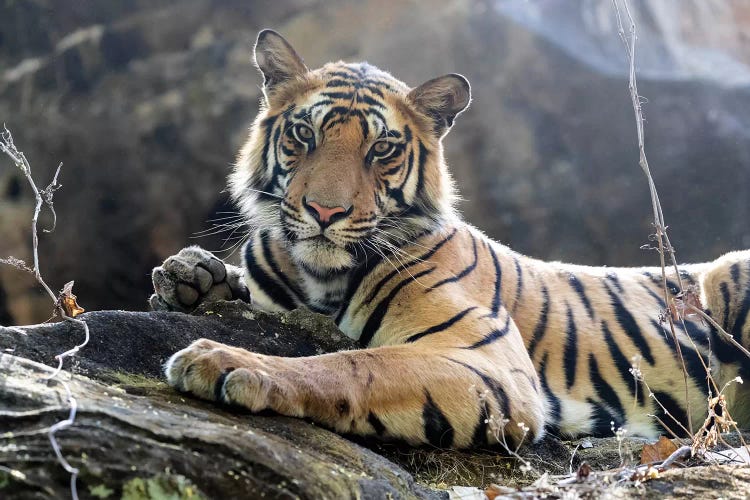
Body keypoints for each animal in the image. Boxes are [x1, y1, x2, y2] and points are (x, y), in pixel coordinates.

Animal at [151, 29, 750, 448]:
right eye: (305, 134)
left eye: (381, 149)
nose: (326, 211)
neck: (318, 277)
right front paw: (188, 275)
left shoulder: (488, 361)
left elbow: (353, 363)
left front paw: (227, 362)